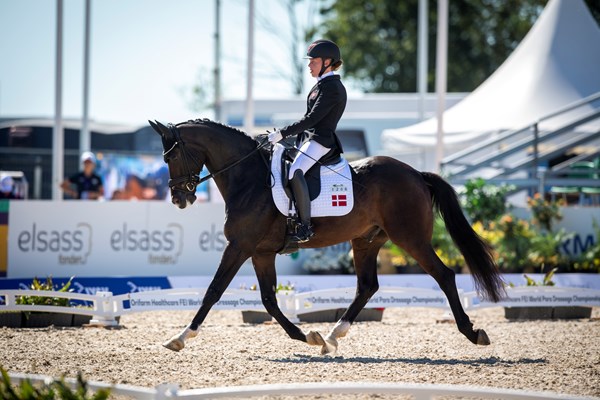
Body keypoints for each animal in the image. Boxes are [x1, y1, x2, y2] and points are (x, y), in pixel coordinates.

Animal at [148, 118, 504, 354]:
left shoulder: (239, 246)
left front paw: (180, 337)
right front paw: (308, 337)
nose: (179, 198)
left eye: (170, 157)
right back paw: (333, 336)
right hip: (366, 241)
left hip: (411, 239)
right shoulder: (261, 253)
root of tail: (416, 173)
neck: (249, 178)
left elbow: (213, 291)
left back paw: (472, 332)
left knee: (444, 275)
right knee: (367, 286)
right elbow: (269, 300)